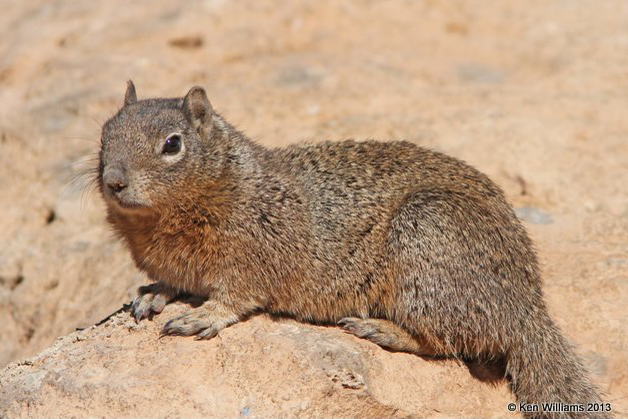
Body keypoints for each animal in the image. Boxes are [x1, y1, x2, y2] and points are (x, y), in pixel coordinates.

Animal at [99, 80, 608, 418]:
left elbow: (237, 296)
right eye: (104, 133)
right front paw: (154, 294)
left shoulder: (255, 255)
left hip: (426, 243)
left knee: (448, 342)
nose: (113, 181)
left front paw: (202, 316)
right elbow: (172, 282)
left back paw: (380, 329)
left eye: (172, 144)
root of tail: (530, 309)